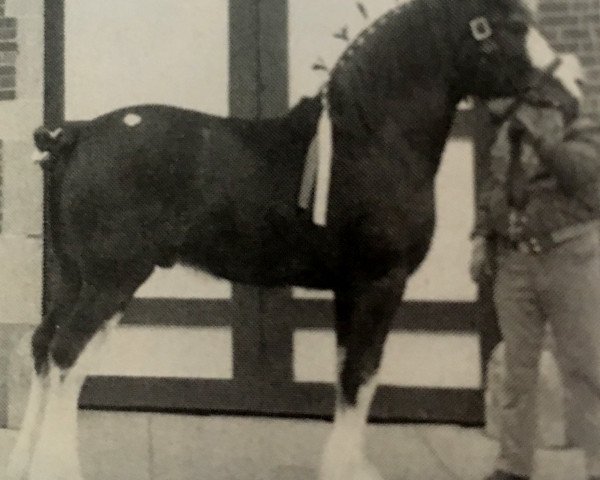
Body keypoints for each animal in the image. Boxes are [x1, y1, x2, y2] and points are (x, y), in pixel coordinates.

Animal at [7, 0, 564, 480]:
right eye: (512, 25)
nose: (568, 89)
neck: (370, 138)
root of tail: (73, 134)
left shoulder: (351, 289)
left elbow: (347, 376)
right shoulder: (380, 283)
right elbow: (362, 375)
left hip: (74, 278)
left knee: (45, 348)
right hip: (111, 281)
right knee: (66, 353)